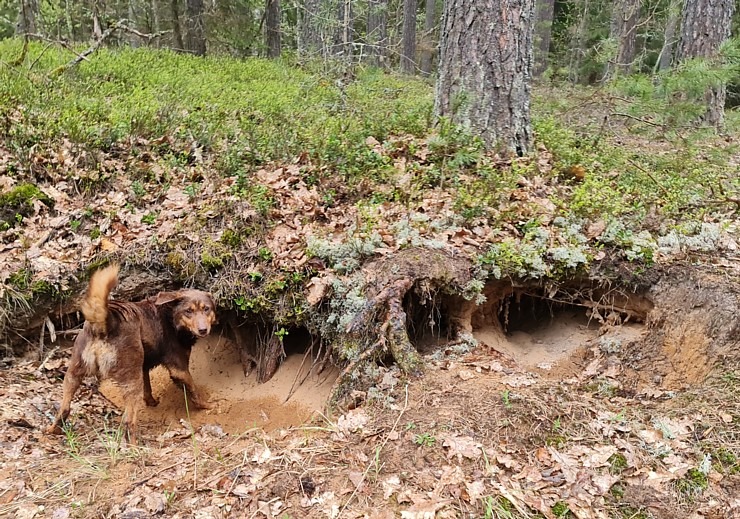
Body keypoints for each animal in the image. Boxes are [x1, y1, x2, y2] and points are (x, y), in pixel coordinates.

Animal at [47, 266, 217, 440]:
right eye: (189, 311)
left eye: (206, 309)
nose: (203, 330)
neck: (171, 316)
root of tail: (105, 323)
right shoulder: (179, 369)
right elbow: (194, 390)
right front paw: (206, 405)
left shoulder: (143, 366)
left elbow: (148, 388)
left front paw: (151, 402)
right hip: (130, 379)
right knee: (129, 422)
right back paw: (135, 444)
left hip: (73, 373)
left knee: (64, 408)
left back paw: (53, 430)